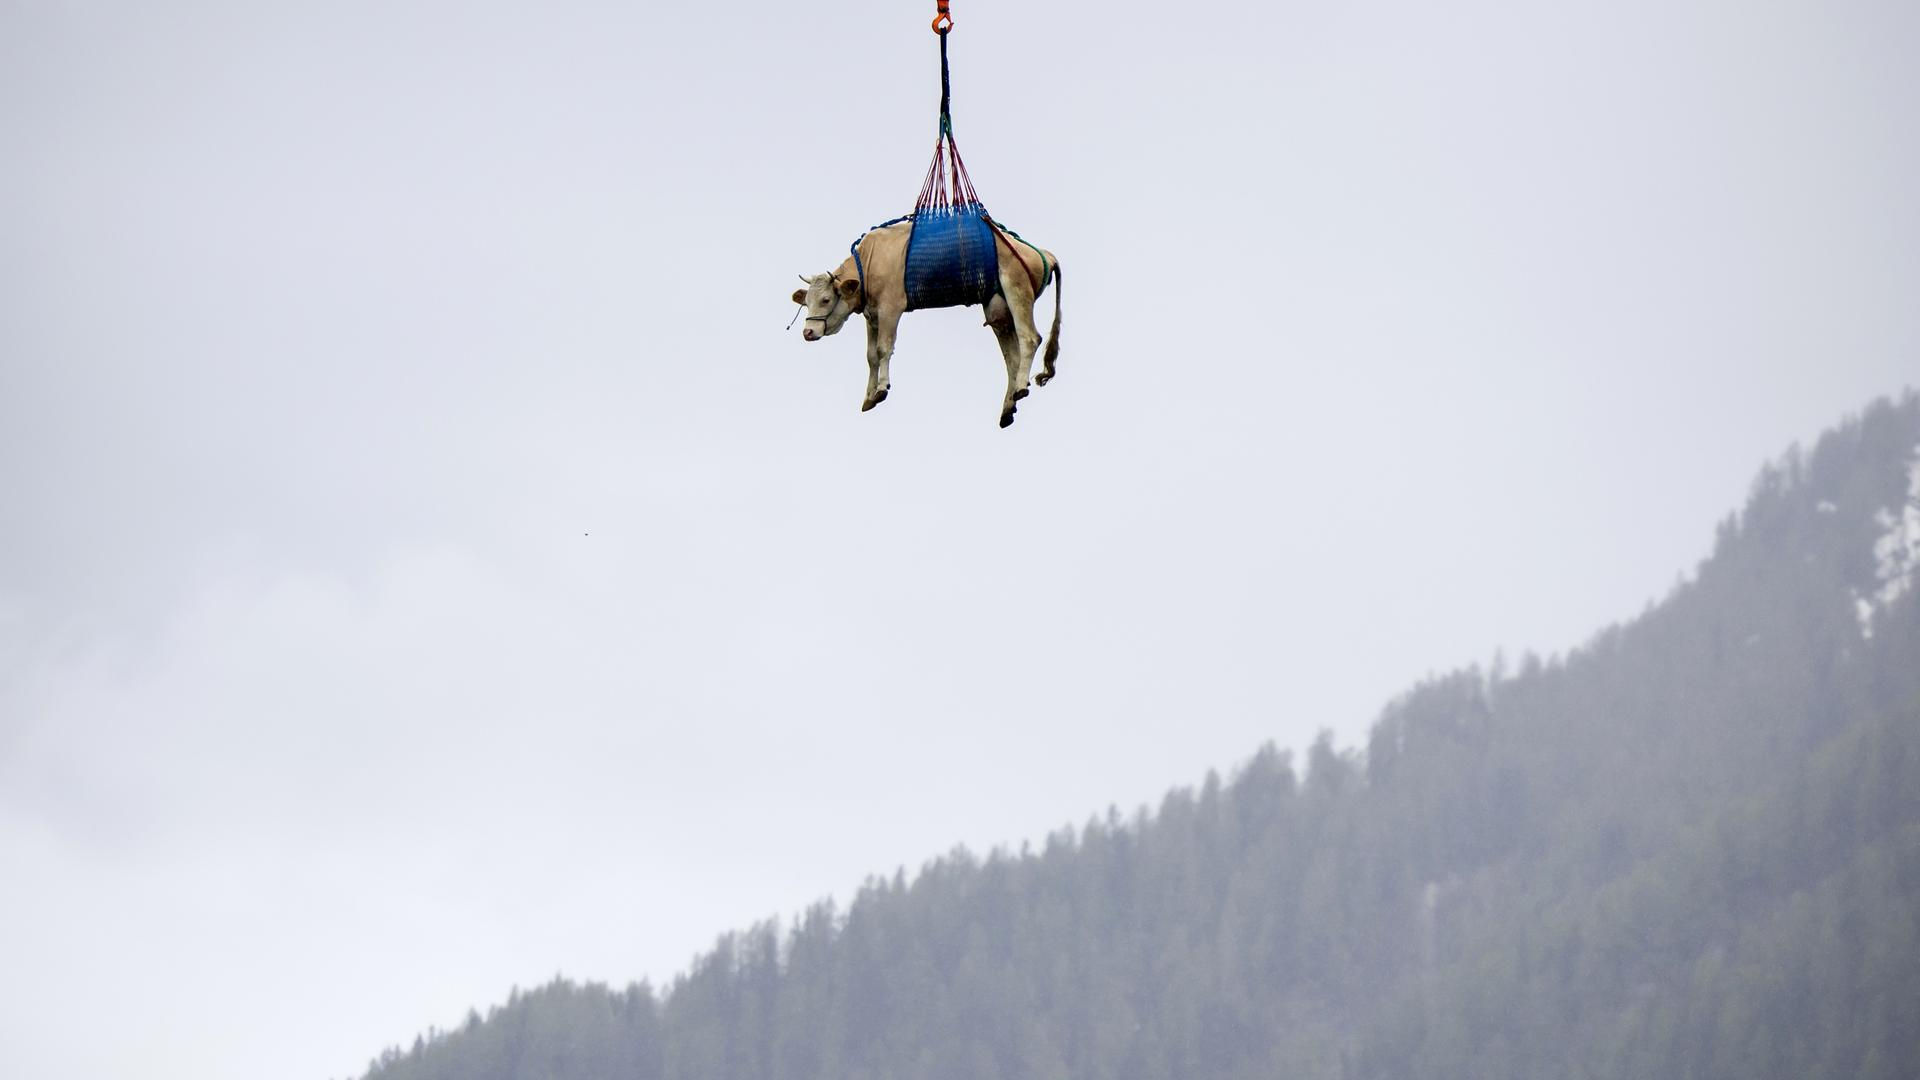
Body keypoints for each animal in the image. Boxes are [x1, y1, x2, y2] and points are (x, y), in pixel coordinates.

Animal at [791, 220, 1062, 428]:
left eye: (826, 299)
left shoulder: (891, 308)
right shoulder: (872, 315)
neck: (870, 259)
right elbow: (870, 356)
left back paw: (1020, 388)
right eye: (806, 302)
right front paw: (868, 396)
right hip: (998, 310)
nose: (808, 331)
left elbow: (883, 349)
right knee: (1012, 359)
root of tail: (1043, 253)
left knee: (1030, 338)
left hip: (1017, 288)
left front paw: (881, 389)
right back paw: (1008, 407)